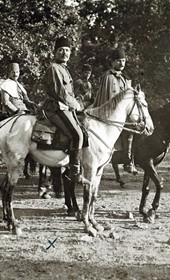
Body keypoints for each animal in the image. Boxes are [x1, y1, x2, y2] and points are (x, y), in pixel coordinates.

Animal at [0, 86, 154, 235]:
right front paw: (87, 225)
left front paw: (95, 223)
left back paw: (8, 222)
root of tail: (5, 123)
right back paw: (14, 225)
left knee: (4, 188)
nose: (151, 128)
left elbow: (94, 195)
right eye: (144, 105)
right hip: (16, 164)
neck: (102, 127)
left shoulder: (99, 170)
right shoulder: (90, 168)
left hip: (11, 164)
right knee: (8, 191)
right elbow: (87, 195)